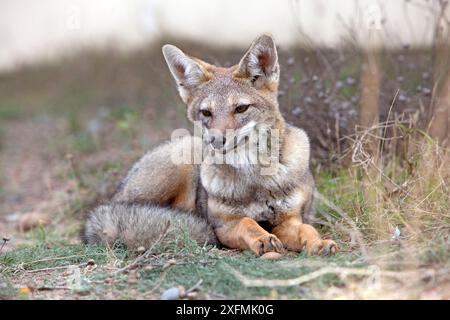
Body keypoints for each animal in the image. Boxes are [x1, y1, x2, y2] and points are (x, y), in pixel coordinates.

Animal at [84, 33, 338, 256]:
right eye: (206, 113)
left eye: (241, 108)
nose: (216, 140)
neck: (254, 180)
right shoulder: (224, 225)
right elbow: (247, 222)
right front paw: (262, 237)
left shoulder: (289, 219)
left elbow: (307, 228)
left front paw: (319, 243)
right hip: (182, 160)